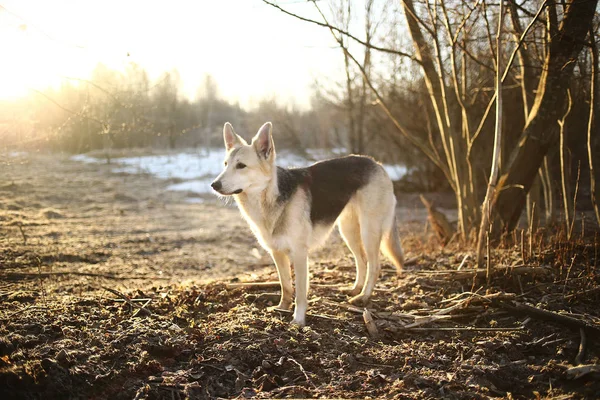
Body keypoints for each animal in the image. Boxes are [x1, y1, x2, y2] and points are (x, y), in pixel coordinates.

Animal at [211, 121, 404, 324]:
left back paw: (364, 297)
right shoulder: (277, 253)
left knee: (375, 265)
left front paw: (298, 319)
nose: (214, 185)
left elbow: (301, 292)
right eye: (225, 164)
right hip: (348, 230)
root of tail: (377, 163)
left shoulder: (299, 254)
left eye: (241, 166)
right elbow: (286, 286)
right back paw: (355, 290)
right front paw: (282, 308)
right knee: (362, 260)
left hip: (369, 231)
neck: (268, 197)